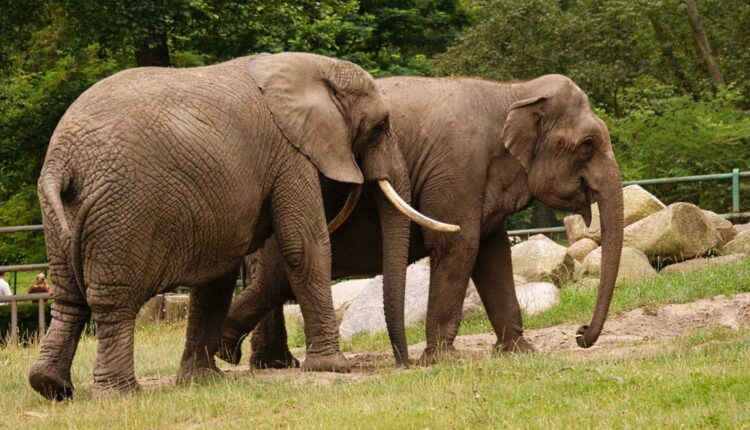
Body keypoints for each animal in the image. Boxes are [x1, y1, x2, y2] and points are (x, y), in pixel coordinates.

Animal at [29, 52, 456, 400]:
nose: (404, 364)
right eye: (381, 126)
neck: (309, 67)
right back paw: (120, 393)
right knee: (112, 303)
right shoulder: (290, 154)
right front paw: (335, 368)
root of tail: (62, 161)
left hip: (63, 216)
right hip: (123, 214)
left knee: (68, 298)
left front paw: (203, 381)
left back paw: (51, 387)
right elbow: (305, 246)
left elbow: (216, 273)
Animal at [216, 74, 624, 367]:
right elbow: (460, 245)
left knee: (272, 284)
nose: (580, 333)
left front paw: (520, 352)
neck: (513, 91)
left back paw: (266, 363)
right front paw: (443, 360)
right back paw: (230, 353)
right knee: (275, 280)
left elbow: (492, 254)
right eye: (587, 145)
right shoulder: (458, 168)